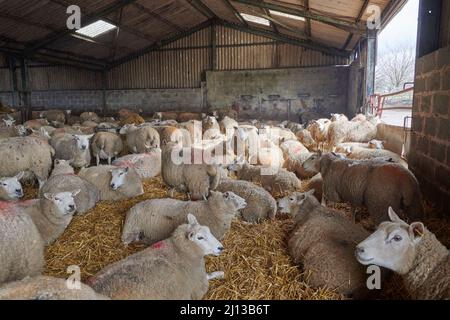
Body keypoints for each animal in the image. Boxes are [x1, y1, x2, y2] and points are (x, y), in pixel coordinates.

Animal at [89, 215, 224, 300]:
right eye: (200, 238)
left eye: (209, 230)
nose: (221, 248)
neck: (179, 251)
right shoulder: (197, 284)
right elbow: (208, 276)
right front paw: (220, 273)